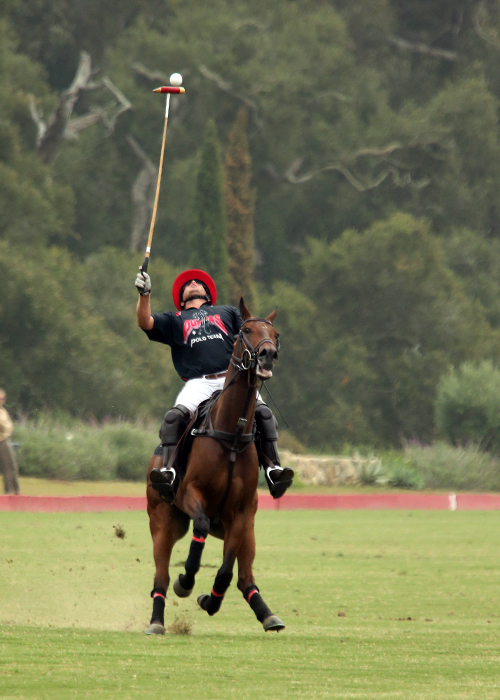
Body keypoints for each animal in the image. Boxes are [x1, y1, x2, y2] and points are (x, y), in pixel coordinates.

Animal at [145, 300, 286, 636]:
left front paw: (209, 600)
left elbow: (225, 570)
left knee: (245, 577)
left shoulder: (241, 514)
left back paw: (267, 614)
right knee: (161, 577)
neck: (231, 434)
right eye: (245, 330)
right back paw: (157, 620)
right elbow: (200, 528)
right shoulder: (189, 495)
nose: (268, 353)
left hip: (246, 529)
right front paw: (186, 581)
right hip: (162, 521)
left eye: (275, 333)